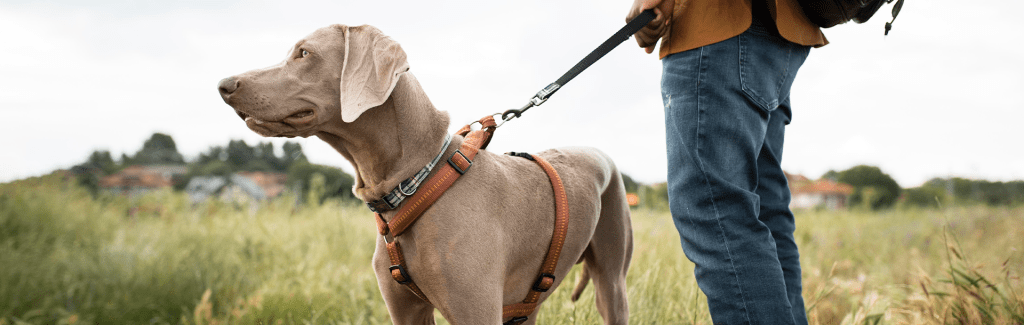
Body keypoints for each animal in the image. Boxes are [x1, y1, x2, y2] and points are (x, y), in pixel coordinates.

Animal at [217, 24, 630, 321]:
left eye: (304, 53)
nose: (224, 85)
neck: (416, 181)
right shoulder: (405, 310)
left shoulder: (476, 311)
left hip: (612, 283)